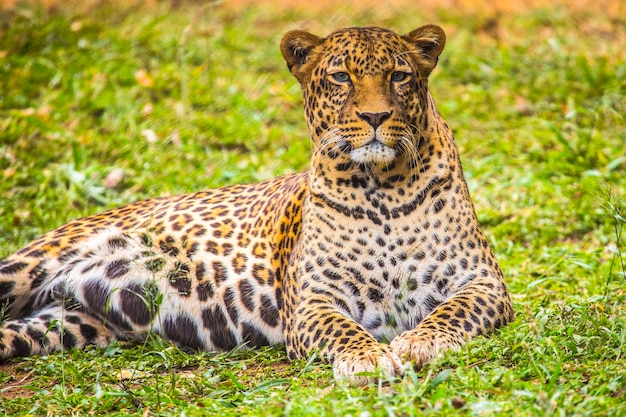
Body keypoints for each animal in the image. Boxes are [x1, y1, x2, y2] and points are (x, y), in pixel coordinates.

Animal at [0, 25, 512, 384]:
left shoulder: (483, 282)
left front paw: (418, 344)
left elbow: (449, 313)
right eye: (341, 77)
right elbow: (344, 330)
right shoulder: (313, 301)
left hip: (66, 324)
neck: (382, 187)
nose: (375, 115)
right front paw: (367, 358)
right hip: (28, 267)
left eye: (400, 76)